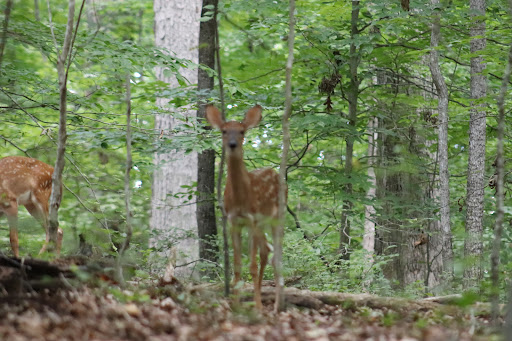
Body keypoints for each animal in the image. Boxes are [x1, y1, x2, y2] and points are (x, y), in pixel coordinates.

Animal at [206, 103, 286, 308]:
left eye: (242, 131)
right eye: (224, 131)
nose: (233, 144)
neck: (240, 200)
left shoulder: (252, 220)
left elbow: (252, 265)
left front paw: (257, 307)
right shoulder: (233, 221)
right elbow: (237, 266)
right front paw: (235, 304)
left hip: (276, 217)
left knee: (275, 258)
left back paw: (276, 306)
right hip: (262, 224)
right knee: (266, 251)